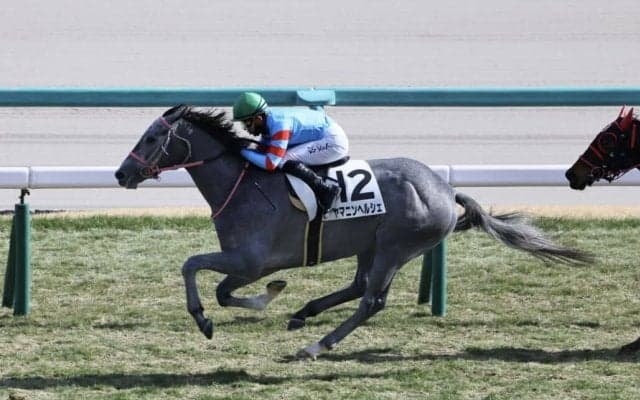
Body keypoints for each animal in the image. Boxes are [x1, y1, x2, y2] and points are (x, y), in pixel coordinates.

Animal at [115, 105, 591, 359]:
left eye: (152, 137)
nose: (121, 174)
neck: (242, 183)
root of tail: (445, 188)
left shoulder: (251, 260)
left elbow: (193, 268)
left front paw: (207, 319)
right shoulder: (247, 264)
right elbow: (220, 289)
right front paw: (270, 298)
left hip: (396, 247)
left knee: (371, 300)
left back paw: (317, 344)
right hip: (372, 244)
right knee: (359, 285)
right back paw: (303, 313)